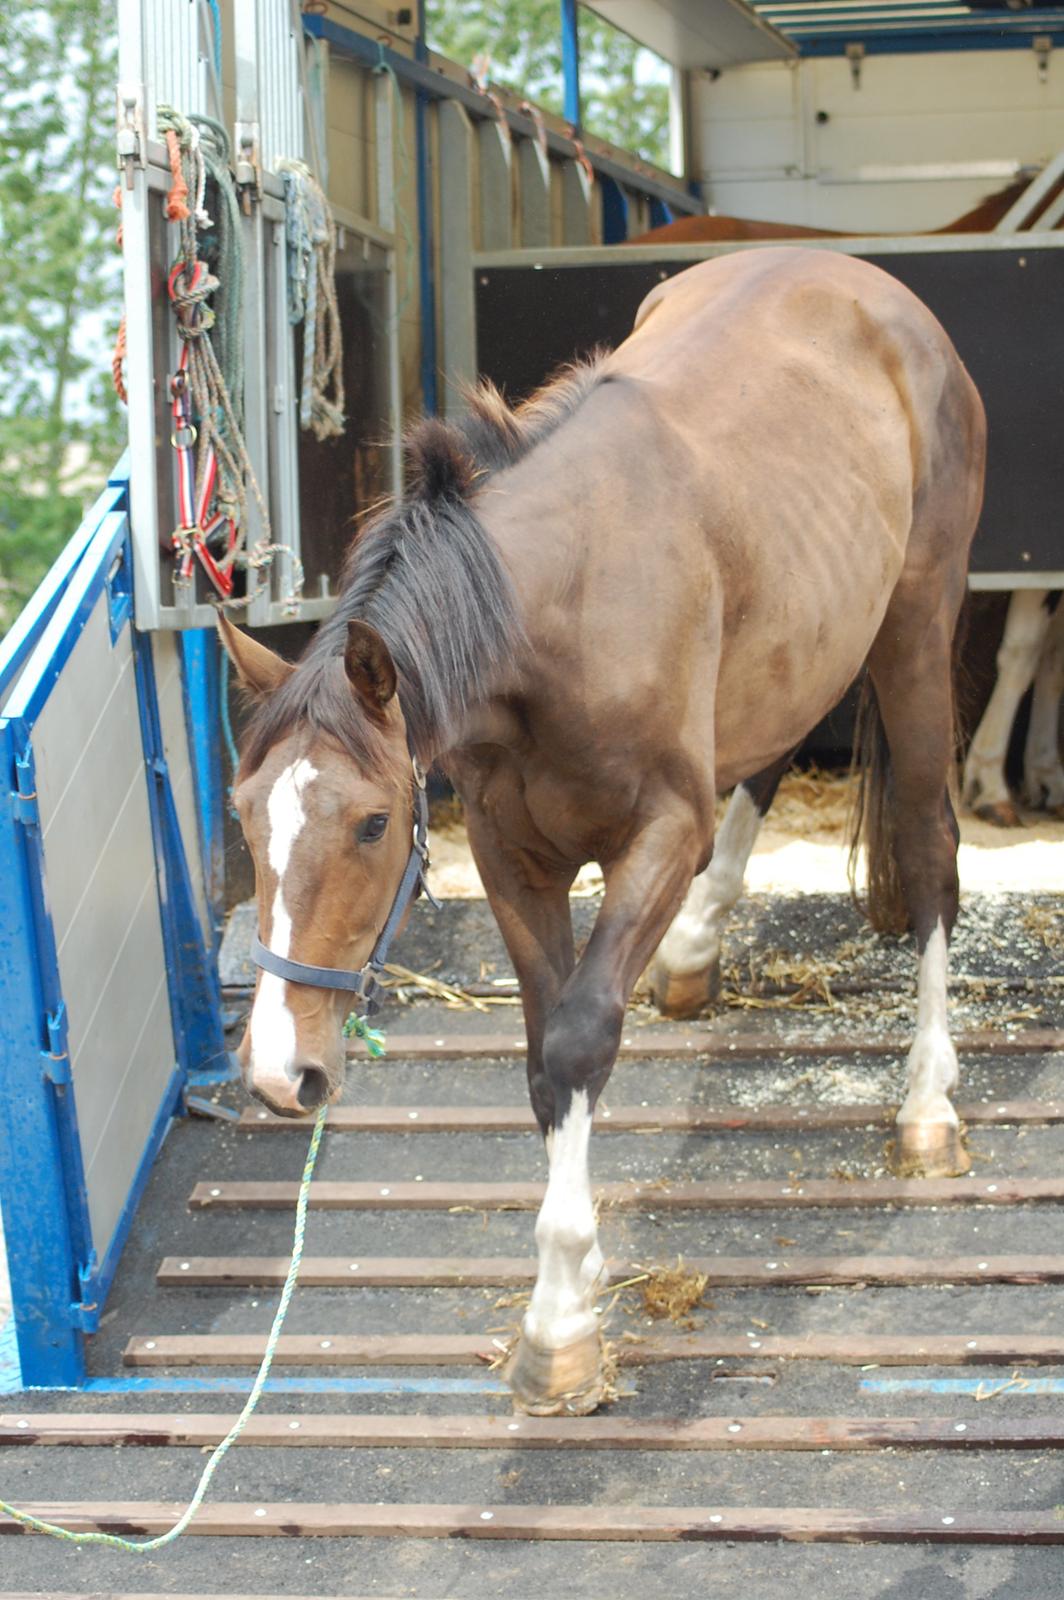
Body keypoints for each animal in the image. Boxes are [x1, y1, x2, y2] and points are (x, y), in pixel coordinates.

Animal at [219, 246, 985, 1414]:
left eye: (372, 823)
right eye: (244, 816)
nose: (278, 1073)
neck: (563, 606)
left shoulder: (659, 832)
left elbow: (581, 1037)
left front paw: (561, 1325)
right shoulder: (511, 856)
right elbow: (545, 1059)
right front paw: (564, 1293)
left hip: (913, 621)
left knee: (930, 848)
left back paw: (926, 1105)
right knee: (769, 751)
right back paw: (695, 950)